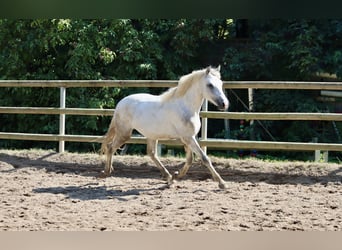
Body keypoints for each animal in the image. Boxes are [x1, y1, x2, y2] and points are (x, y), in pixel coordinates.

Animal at [101, 66, 230, 189]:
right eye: (210, 85)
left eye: (221, 83)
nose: (224, 104)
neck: (186, 107)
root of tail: (120, 103)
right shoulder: (188, 138)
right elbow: (204, 158)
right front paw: (222, 183)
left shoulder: (188, 138)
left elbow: (190, 160)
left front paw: (177, 175)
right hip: (125, 134)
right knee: (110, 147)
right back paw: (106, 171)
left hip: (151, 135)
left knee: (152, 154)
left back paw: (168, 177)